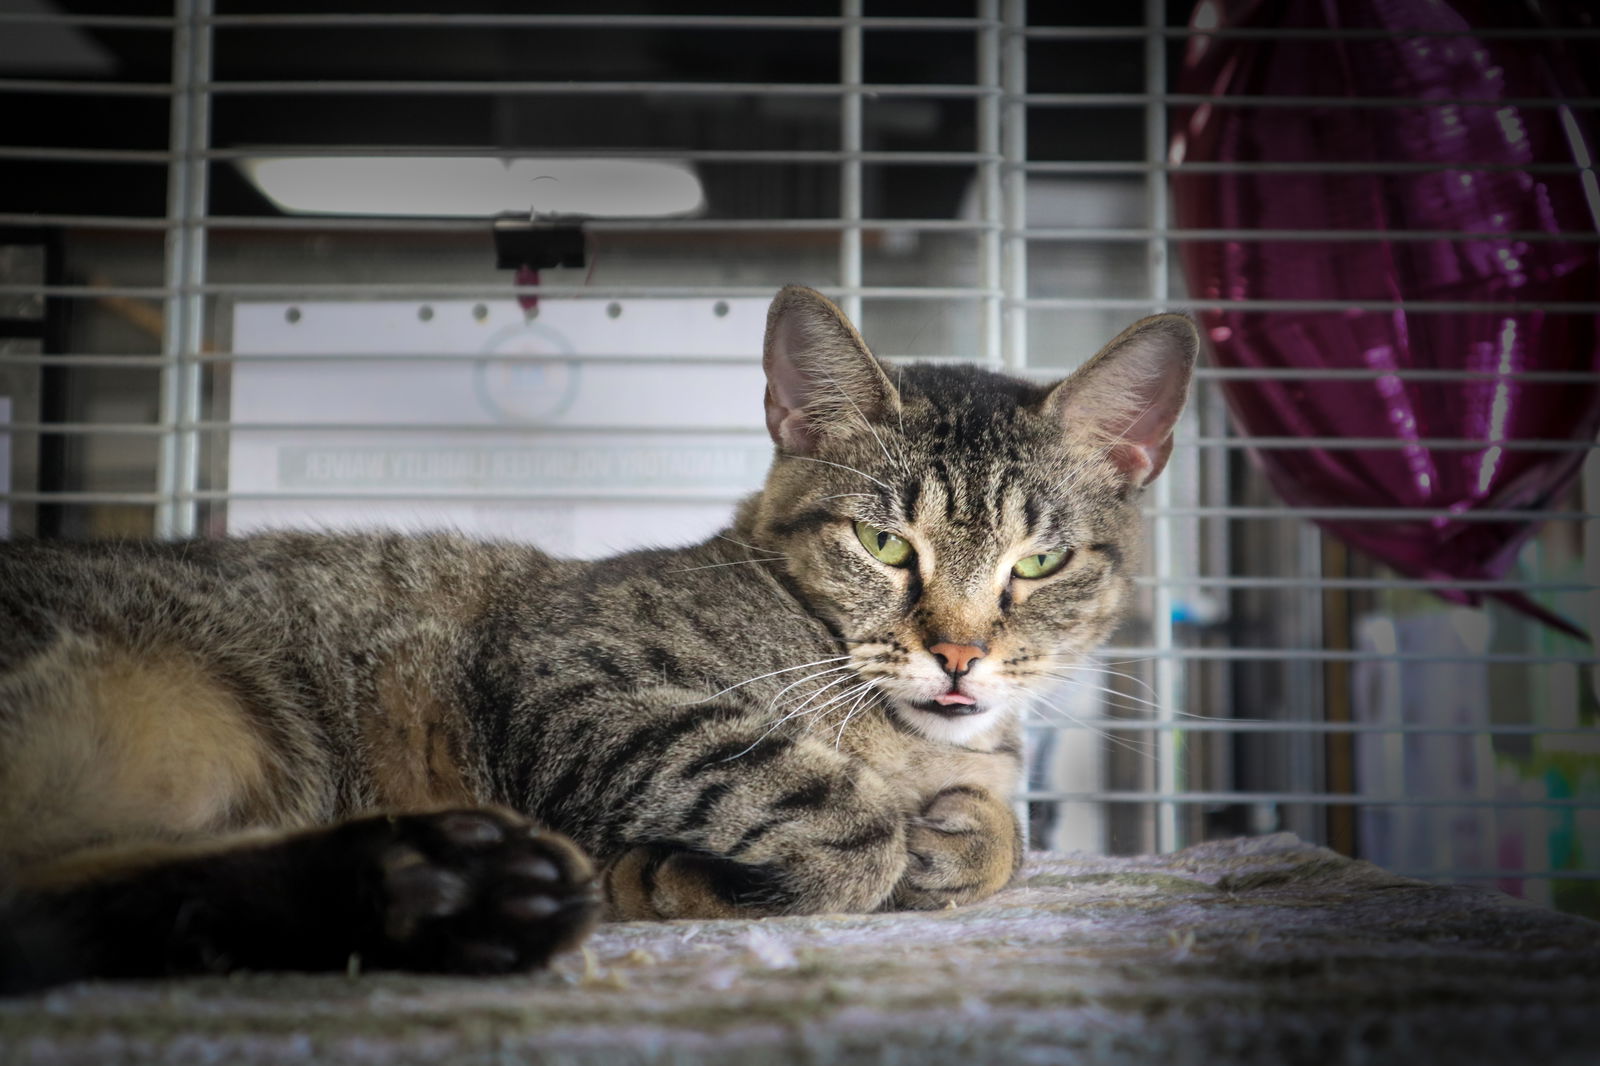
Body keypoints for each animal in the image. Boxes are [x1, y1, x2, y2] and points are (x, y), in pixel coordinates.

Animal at [0, 284, 1196, 985]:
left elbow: (1001, 833)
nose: (957, 653)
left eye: (1036, 563)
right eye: (881, 542)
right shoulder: (572, 675)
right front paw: (707, 873)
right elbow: (836, 818)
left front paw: (961, 836)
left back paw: (446, 892)